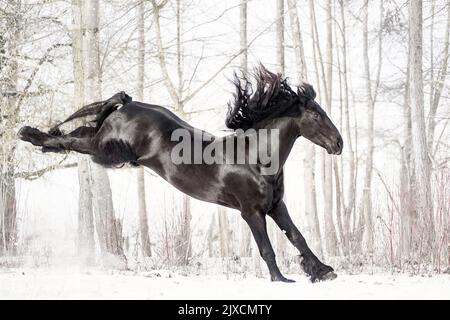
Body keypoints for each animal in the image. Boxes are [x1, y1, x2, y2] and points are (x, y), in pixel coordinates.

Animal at [17, 66, 342, 282]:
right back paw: (27, 134)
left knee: (76, 134)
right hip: (106, 148)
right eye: (316, 115)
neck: (256, 159)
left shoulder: (275, 205)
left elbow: (298, 237)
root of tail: (129, 106)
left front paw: (323, 271)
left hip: (104, 145)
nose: (338, 144)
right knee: (72, 140)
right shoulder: (251, 212)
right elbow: (266, 248)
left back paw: (40, 140)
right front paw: (281, 280)